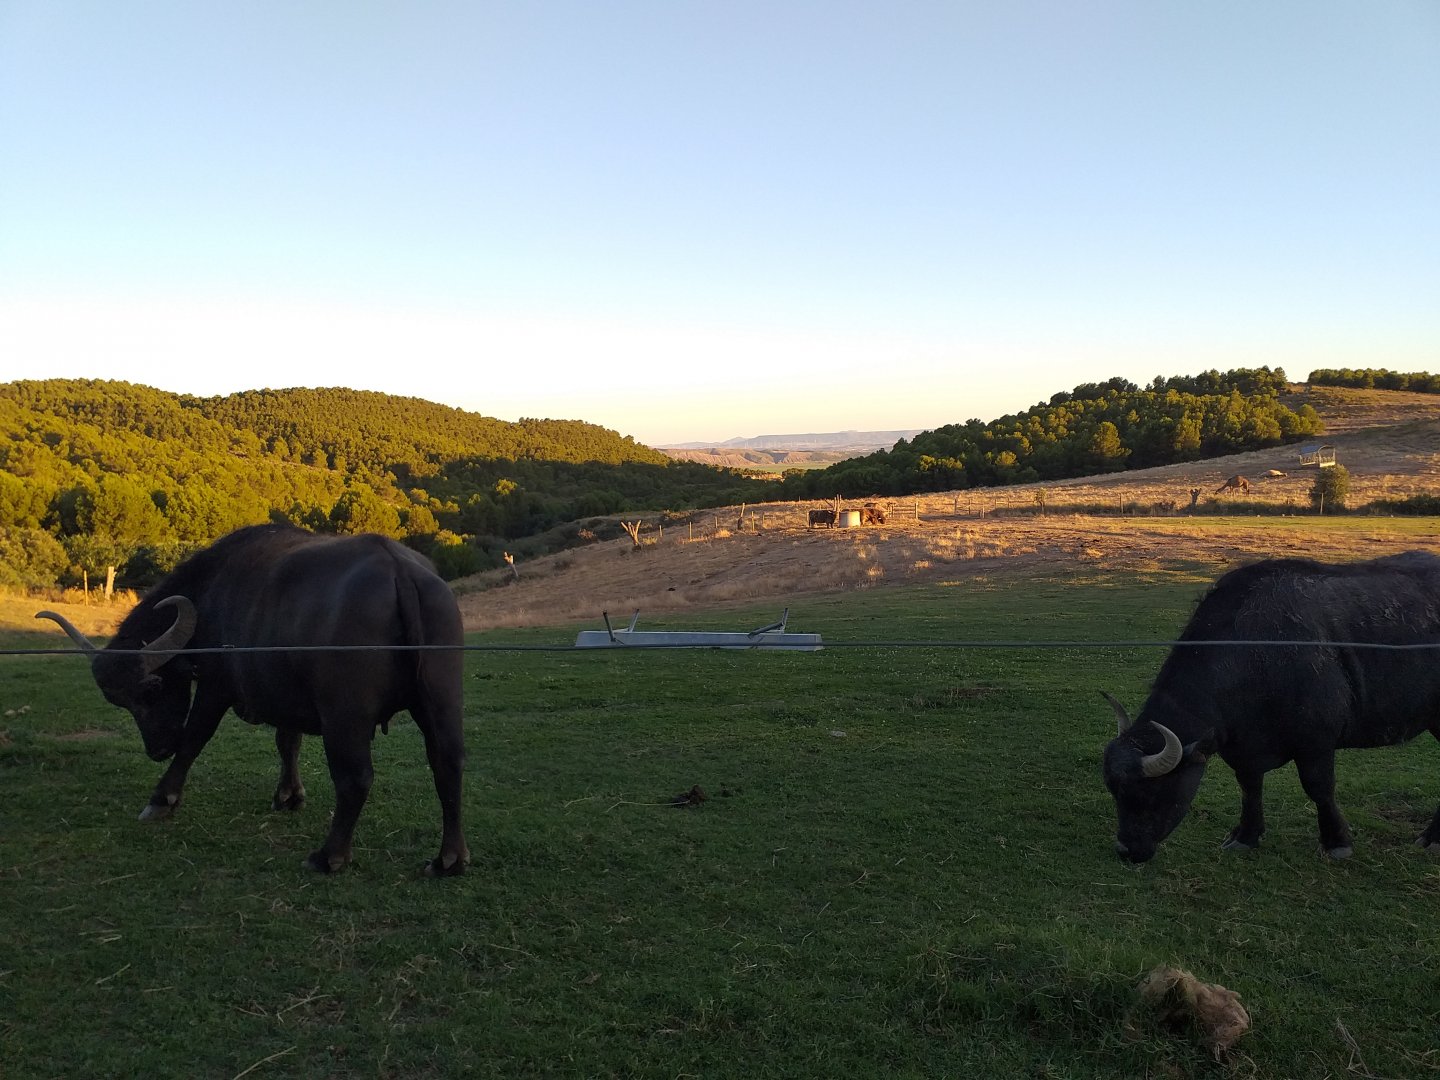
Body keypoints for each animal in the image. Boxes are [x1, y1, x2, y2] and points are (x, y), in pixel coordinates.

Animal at [36, 524, 469, 876]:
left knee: (355, 778)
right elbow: (287, 742)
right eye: (121, 703)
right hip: (442, 698)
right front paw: (288, 796)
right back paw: (448, 859)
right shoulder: (286, 696)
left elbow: (194, 739)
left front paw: (161, 800)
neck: (212, 593)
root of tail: (399, 571)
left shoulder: (215, 686)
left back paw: (329, 857)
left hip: (345, 715)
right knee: (447, 764)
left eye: (152, 688)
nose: (157, 749)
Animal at [1102, 551, 1440, 864]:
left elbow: (1319, 789)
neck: (1257, 652)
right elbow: (1250, 788)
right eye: (1115, 792)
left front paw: (1336, 842)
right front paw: (1246, 836)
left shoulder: (1316, 744)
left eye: (1151, 793)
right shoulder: (1243, 750)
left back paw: (1431, 837)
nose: (1126, 850)